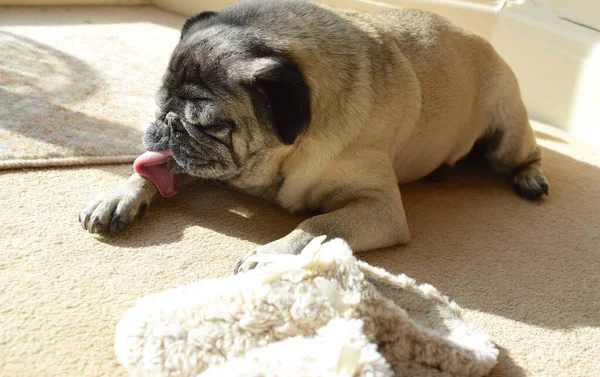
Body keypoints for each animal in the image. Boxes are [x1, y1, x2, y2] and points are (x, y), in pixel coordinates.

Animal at [78, 0, 548, 270]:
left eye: (210, 124)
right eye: (161, 101)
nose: (168, 124)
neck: (285, 154)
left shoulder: (378, 209)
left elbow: (318, 224)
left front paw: (271, 253)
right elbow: (148, 172)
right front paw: (119, 195)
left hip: (505, 136)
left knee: (526, 154)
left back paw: (530, 178)